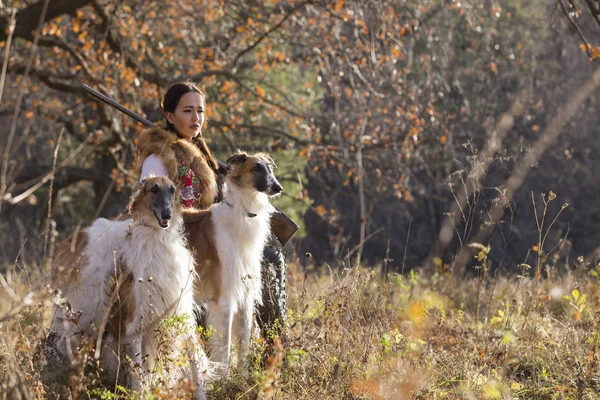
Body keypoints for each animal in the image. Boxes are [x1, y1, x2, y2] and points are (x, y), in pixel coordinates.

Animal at [184, 151, 282, 368]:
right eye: (256, 167)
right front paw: (225, 374)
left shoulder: (246, 296)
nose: (278, 187)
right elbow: (225, 350)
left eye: (270, 168)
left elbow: (243, 348)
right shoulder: (225, 299)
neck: (243, 214)